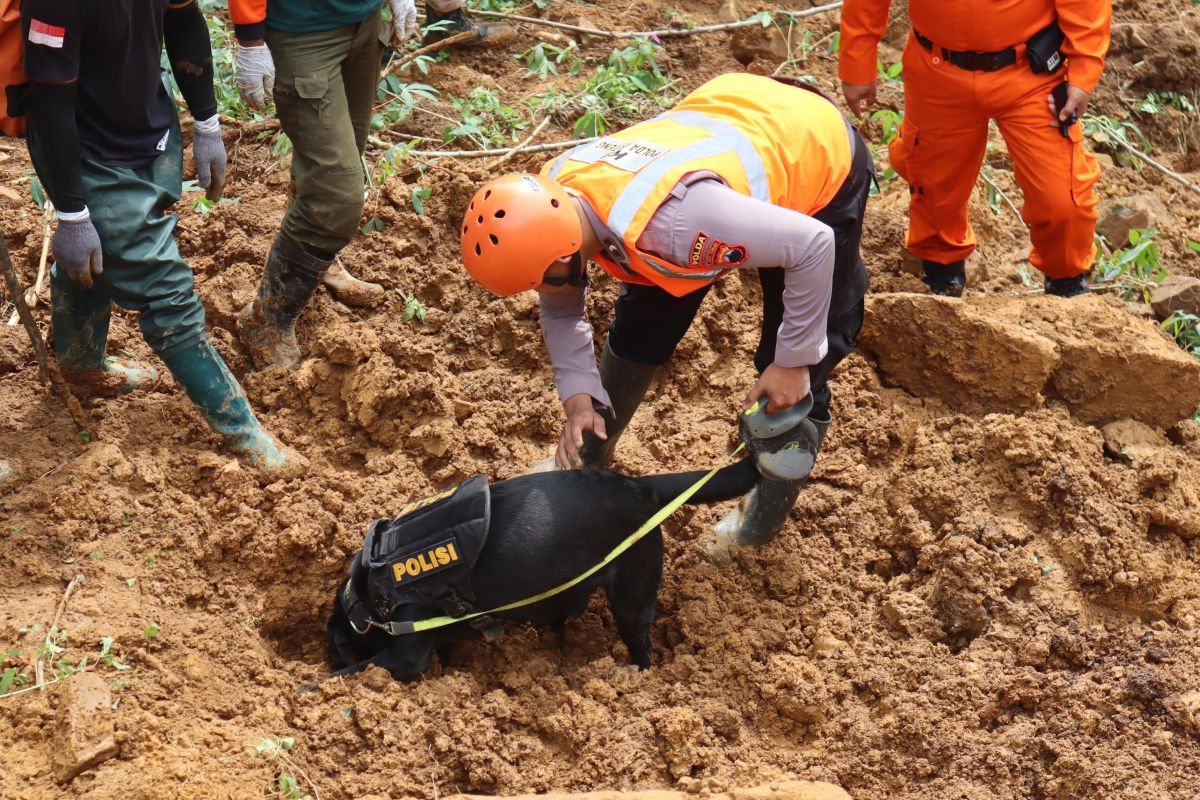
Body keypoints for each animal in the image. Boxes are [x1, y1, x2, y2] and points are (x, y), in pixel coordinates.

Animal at [326, 455, 758, 681]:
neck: (369, 597)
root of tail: (641, 486)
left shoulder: (406, 654)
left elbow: (345, 674)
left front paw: (315, 687)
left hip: (633, 595)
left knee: (643, 646)